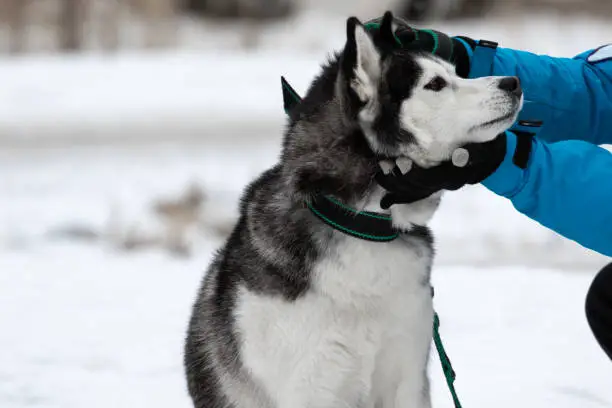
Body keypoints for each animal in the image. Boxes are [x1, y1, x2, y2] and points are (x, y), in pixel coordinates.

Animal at [184, 10, 524, 408]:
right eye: (436, 84)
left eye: (456, 72)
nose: (513, 82)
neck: (362, 224)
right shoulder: (312, 386)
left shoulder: (407, 377)